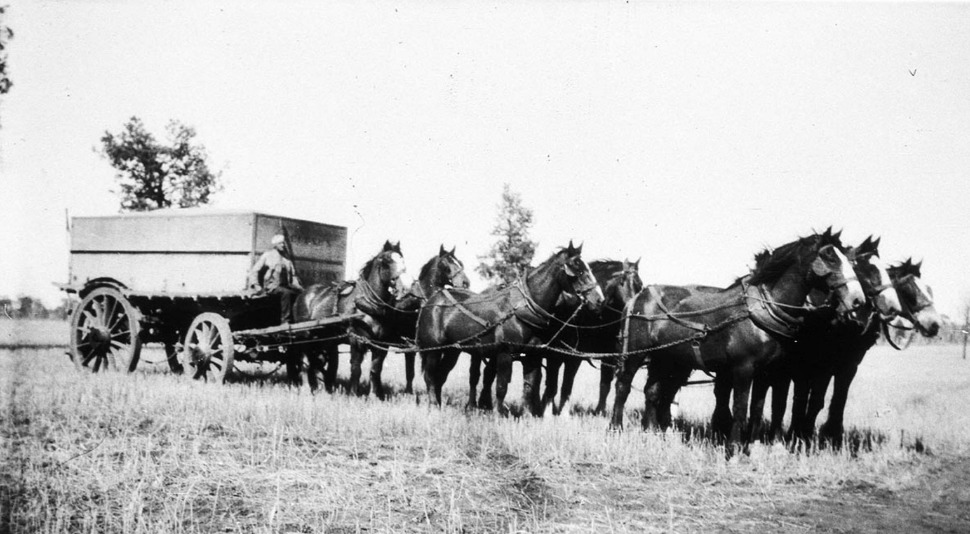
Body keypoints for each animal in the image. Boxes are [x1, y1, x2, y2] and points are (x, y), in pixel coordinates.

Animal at [294, 241, 416, 396]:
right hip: (305, 336)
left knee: (318, 362)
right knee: (306, 360)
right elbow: (356, 369)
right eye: (387, 261)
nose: (406, 286)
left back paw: (322, 388)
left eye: (402, 259)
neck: (369, 304)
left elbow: (375, 371)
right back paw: (307, 387)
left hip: (326, 340)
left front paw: (374, 396)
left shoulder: (381, 344)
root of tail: (303, 294)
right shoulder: (356, 340)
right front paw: (353, 394)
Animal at [418, 244, 604, 418]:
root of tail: (433, 299)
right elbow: (501, 387)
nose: (599, 299)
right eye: (578, 270)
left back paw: (440, 405)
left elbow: (529, 386)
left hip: (452, 350)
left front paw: (527, 416)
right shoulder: (505, 354)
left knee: (440, 376)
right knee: (430, 376)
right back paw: (434, 406)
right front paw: (498, 415)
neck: (522, 308)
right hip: (433, 349)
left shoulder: (532, 356)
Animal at [608, 231, 864, 452]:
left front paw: (751, 447)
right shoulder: (743, 368)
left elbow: (757, 408)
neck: (762, 309)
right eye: (830, 257)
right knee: (622, 386)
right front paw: (733, 450)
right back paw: (615, 429)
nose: (858, 301)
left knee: (652, 391)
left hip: (667, 358)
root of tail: (638, 297)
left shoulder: (767, 373)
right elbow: (740, 408)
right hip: (636, 353)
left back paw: (651, 434)